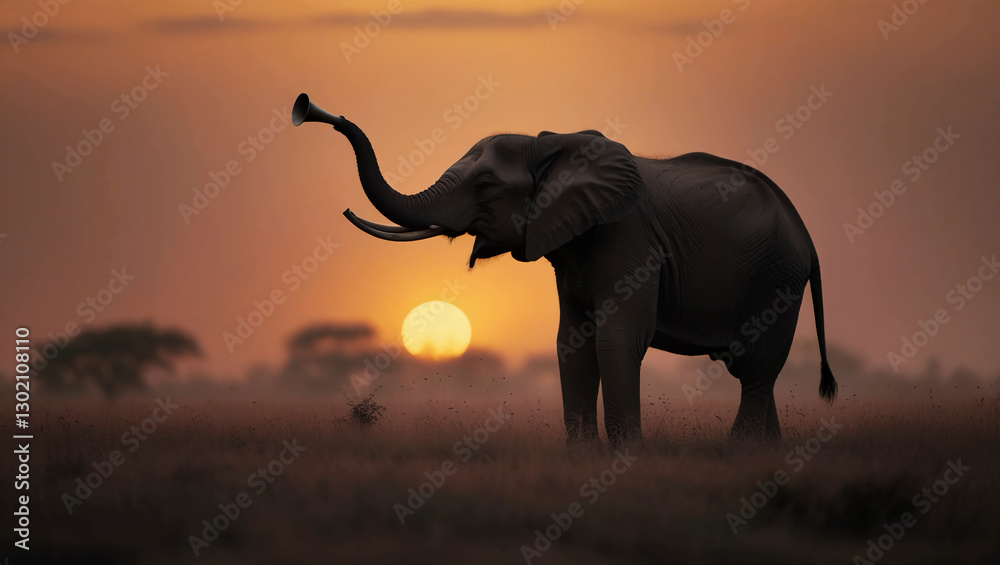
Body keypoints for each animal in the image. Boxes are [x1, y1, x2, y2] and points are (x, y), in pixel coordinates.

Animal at [291, 94, 837, 446]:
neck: (549, 145)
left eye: (486, 186)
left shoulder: (628, 238)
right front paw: (581, 457)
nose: (308, 109)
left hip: (778, 280)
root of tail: (808, 237)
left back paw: (738, 452)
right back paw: (764, 455)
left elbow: (616, 339)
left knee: (757, 370)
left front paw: (624, 458)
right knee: (755, 373)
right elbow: (571, 341)